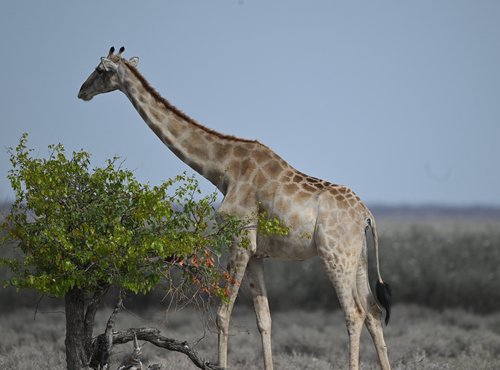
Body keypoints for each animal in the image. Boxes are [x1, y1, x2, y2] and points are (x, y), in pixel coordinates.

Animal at [77, 47, 390, 370]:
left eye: (100, 70)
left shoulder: (239, 241)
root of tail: (366, 215)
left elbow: (222, 315)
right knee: (374, 311)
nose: (81, 91)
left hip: (335, 255)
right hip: (358, 257)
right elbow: (264, 320)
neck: (223, 170)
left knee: (354, 313)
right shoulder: (257, 253)